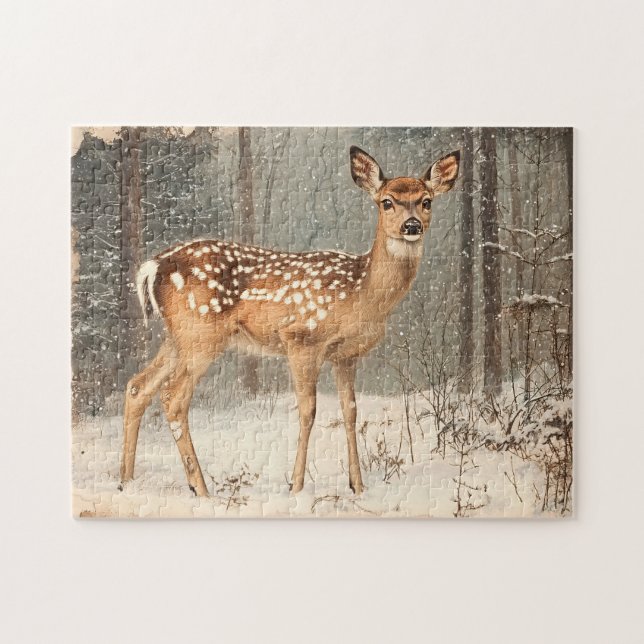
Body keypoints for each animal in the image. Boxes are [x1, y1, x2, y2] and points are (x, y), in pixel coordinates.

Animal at [120, 146, 460, 496]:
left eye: (427, 201)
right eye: (387, 202)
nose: (412, 225)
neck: (361, 293)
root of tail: (153, 267)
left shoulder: (346, 355)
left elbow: (350, 411)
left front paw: (357, 485)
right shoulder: (301, 338)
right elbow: (308, 411)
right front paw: (296, 486)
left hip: (179, 337)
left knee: (137, 386)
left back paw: (126, 481)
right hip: (201, 333)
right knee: (172, 397)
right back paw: (200, 488)